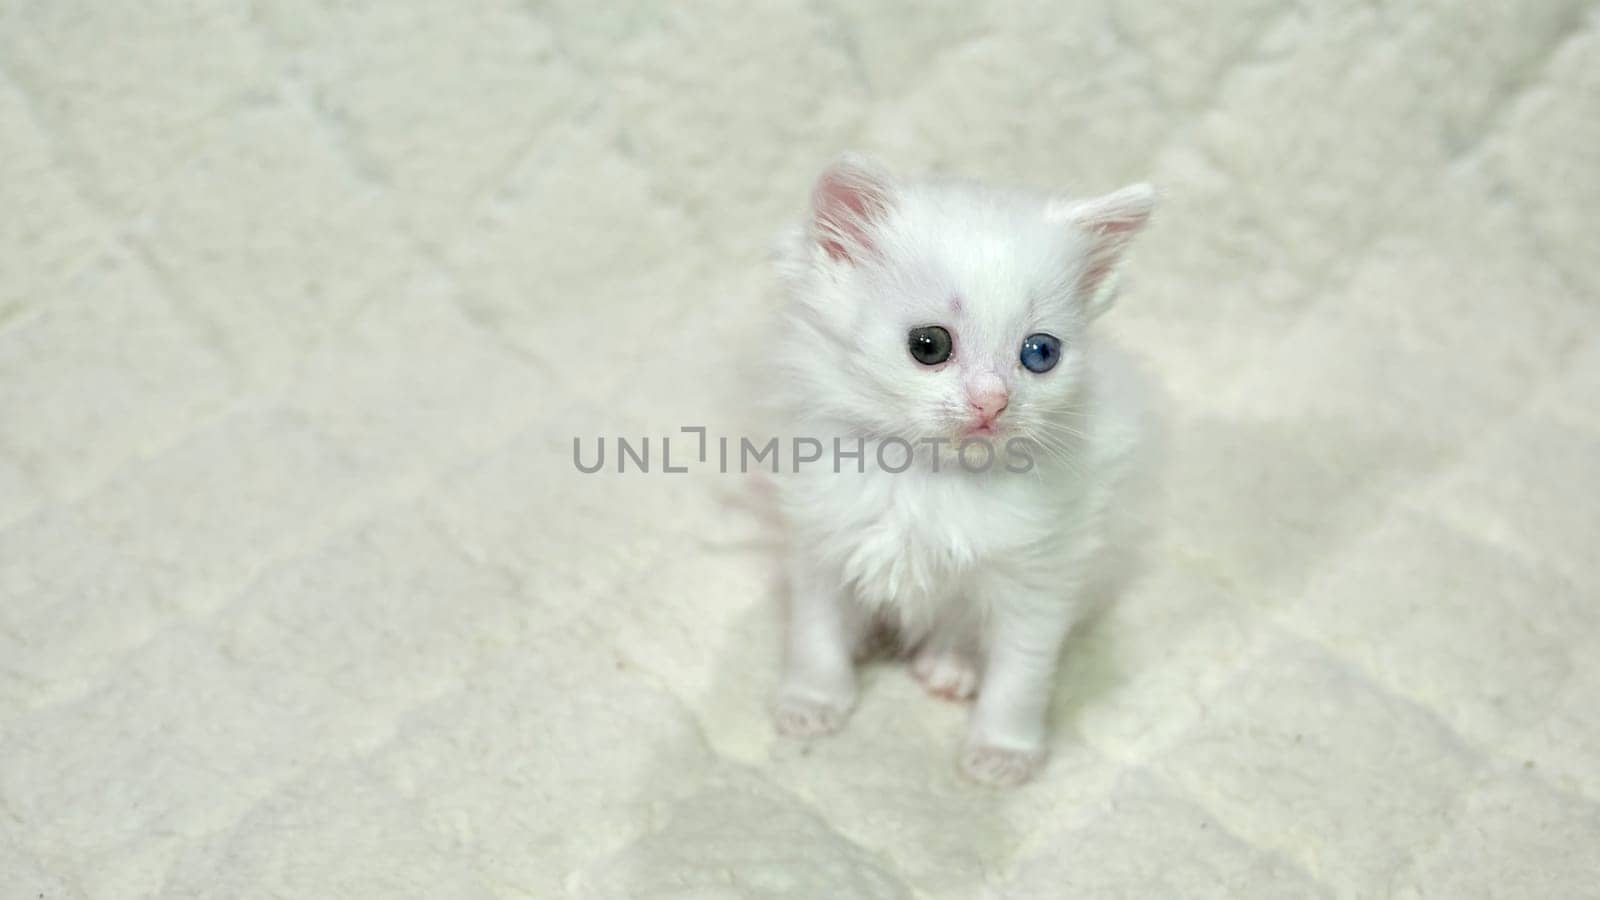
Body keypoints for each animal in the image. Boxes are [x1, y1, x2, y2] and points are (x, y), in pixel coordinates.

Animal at [768, 156, 1158, 784]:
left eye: (1040, 353)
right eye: (929, 345)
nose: (993, 402)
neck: (929, 475)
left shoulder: (1042, 573)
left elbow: (1021, 672)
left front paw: (1003, 751)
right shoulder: (820, 538)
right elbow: (815, 630)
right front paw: (812, 702)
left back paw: (951, 666)